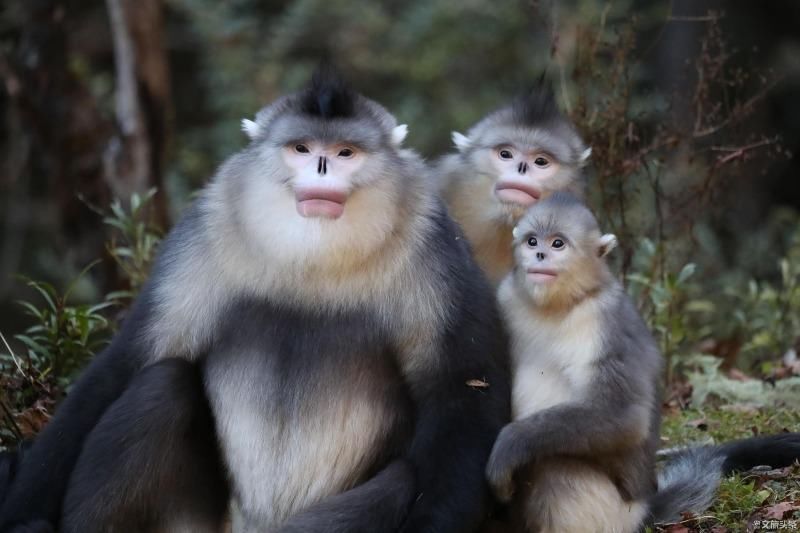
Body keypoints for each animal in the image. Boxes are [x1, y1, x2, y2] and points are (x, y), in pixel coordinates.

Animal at [0, 68, 510, 532]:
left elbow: (462, 394)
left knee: (402, 480)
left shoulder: (437, 252)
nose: (321, 169)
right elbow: (127, 362)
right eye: (302, 149)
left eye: (345, 153)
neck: (314, 261)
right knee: (161, 384)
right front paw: (21, 513)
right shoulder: (207, 229)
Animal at [484, 192, 800, 532]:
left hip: (607, 510)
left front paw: (508, 448)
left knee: (554, 463)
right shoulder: (506, 296)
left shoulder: (607, 321)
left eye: (558, 244)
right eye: (532, 241)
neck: (556, 306)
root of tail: (643, 508)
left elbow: (625, 415)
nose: (540, 254)